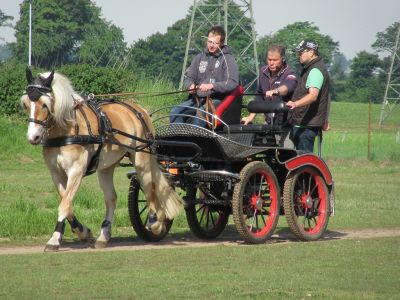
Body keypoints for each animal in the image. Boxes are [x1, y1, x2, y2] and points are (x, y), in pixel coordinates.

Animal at [21, 68, 183, 251]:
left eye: (44, 105)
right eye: (26, 104)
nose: (33, 137)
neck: (67, 129)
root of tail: (138, 109)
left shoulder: (76, 171)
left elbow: (64, 203)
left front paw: (54, 240)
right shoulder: (56, 173)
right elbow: (66, 203)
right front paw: (82, 232)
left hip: (142, 160)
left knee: (150, 190)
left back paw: (155, 223)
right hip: (107, 167)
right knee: (111, 198)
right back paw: (104, 235)